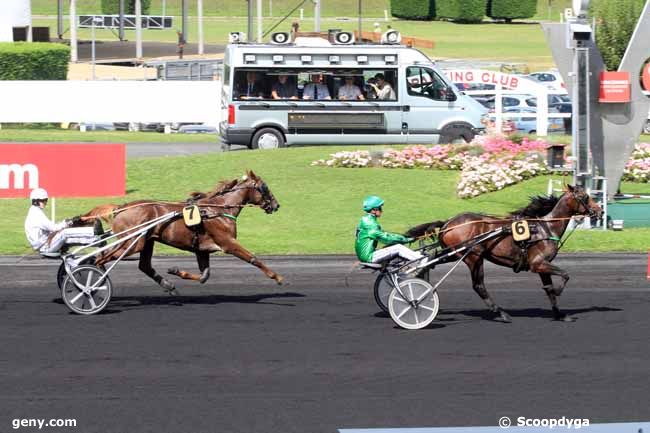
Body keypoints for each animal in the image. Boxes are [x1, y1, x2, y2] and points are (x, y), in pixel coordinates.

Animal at [83, 169, 280, 294]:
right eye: (264, 187)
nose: (276, 205)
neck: (217, 210)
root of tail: (121, 208)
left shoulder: (202, 249)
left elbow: (204, 276)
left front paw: (175, 270)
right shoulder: (228, 243)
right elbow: (253, 258)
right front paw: (277, 277)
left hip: (145, 242)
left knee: (142, 265)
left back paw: (168, 285)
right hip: (132, 243)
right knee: (101, 258)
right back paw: (95, 282)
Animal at [404, 184, 604, 322]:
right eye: (585, 197)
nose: (600, 211)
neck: (545, 228)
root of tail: (448, 222)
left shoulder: (542, 266)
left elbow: (549, 291)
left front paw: (560, 314)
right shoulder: (538, 263)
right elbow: (565, 275)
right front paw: (558, 290)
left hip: (455, 253)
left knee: (431, 259)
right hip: (474, 256)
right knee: (479, 285)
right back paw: (501, 313)